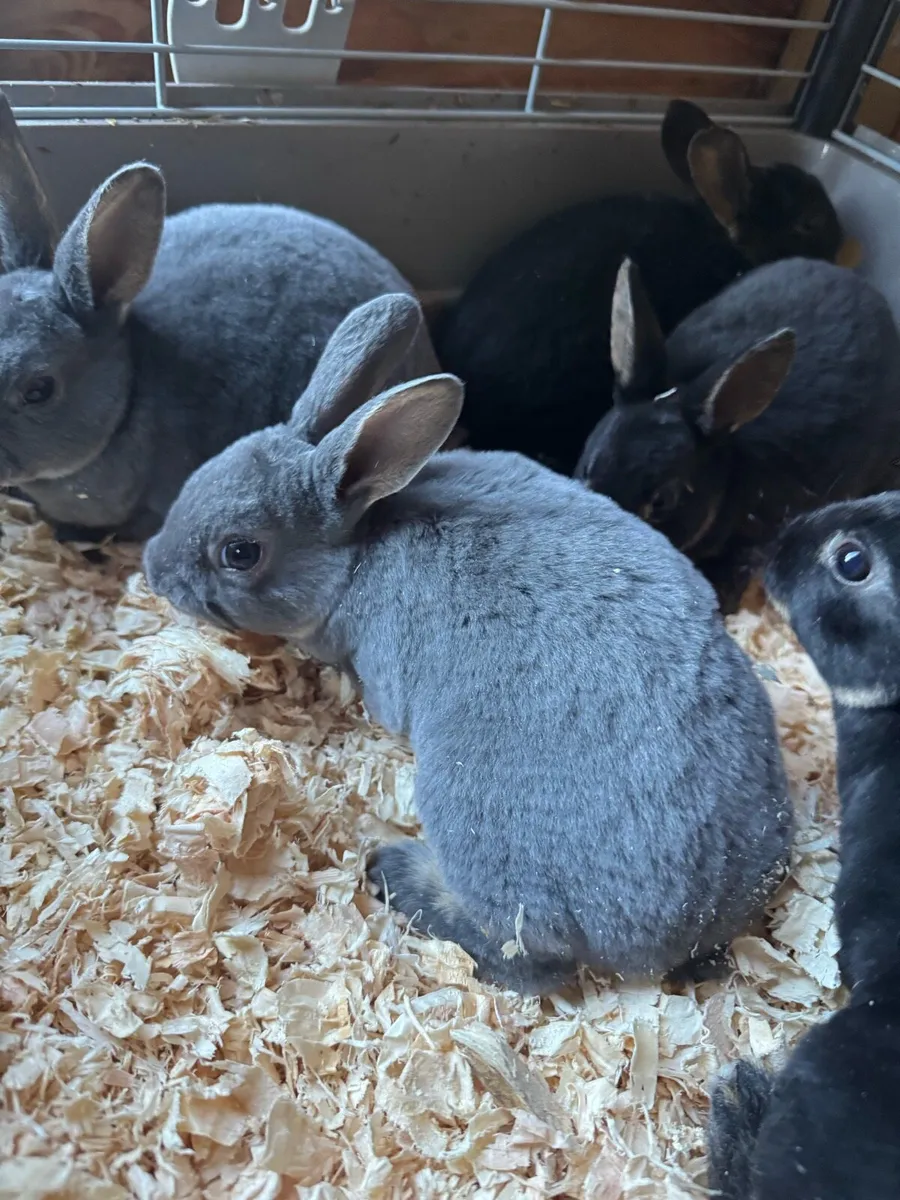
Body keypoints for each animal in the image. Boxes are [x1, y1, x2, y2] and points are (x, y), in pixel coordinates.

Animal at [142, 290, 792, 996]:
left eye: (240, 553)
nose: (153, 569)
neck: (362, 543)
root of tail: (681, 933)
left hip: (476, 836)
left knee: (528, 960)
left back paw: (393, 870)